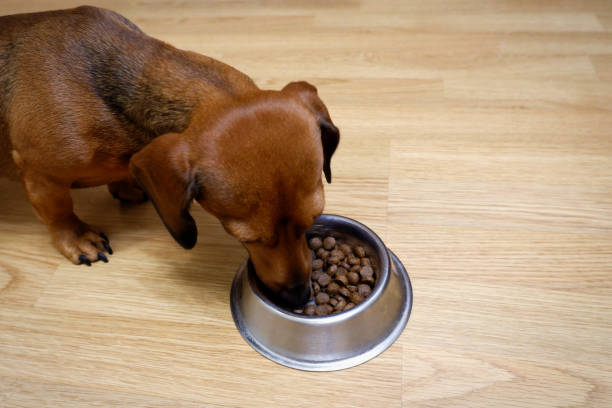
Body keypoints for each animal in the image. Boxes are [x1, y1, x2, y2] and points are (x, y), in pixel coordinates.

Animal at [0, 5, 340, 306]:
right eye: (250, 239)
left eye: (313, 219)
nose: (299, 297)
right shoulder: (39, 173)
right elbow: (59, 212)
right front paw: (77, 237)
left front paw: (125, 186)